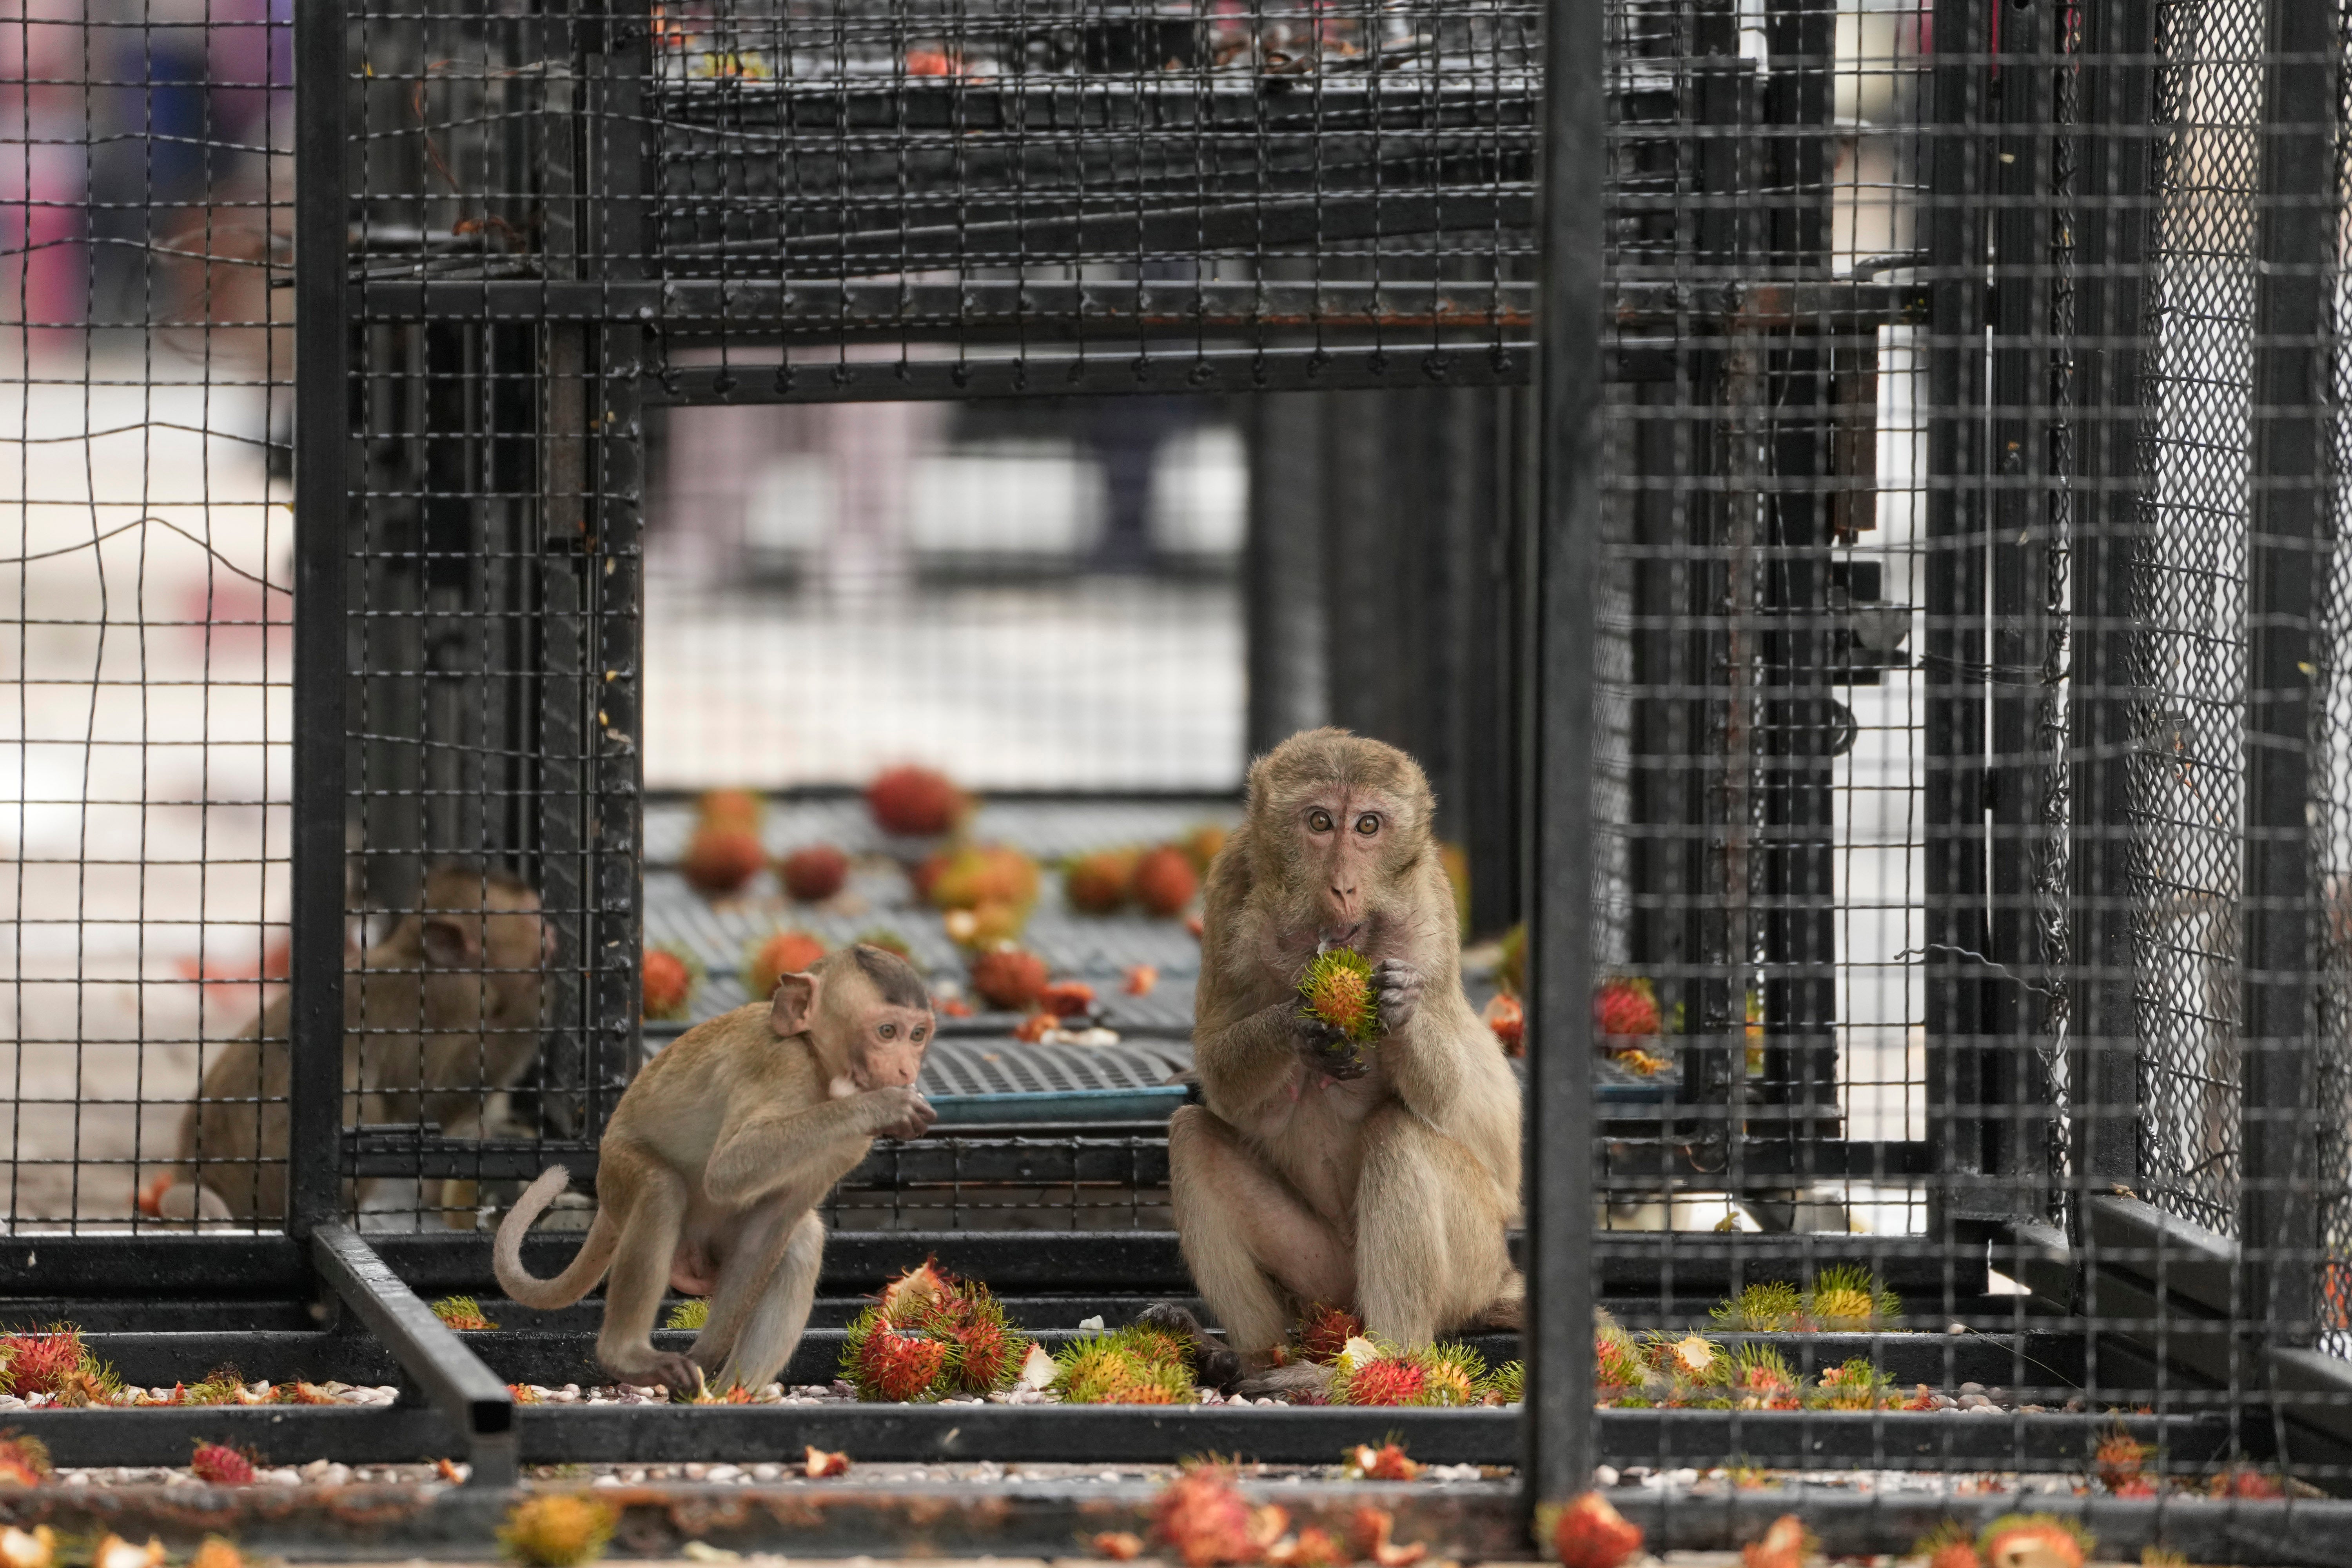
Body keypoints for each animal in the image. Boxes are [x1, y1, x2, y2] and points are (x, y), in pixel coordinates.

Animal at [148, 864, 554, 1225]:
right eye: (531, 917)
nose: (551, 931)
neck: (418, 957)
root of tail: (196, 1175)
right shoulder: (451, 997)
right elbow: (425, 1101)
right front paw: (534, 1003)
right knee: (366, 1109)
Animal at [491, 944, 937, 1394]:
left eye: (917, 1035)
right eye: (887, 1032)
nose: (907, 1070)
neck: (820, 1066)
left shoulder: (849, 1147)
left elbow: (773, 1223)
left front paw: (706, 1358)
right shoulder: (783, 1065)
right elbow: (729, 1170)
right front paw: (885, 1105)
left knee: (800, 1242)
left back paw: (735, 1394)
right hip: (616, 1177)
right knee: (660, 1189)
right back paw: (627, 1357)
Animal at [1158, 728, 1522, 1394]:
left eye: (1369, 825)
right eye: (1321, 822)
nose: (1344, 888)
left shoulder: (1430, 915)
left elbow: (1449, 1094)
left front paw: (1401, 1007)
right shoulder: (1228, 886)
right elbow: (1220, 1073)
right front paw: (1299, 1024)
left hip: (1474, 1261)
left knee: (1399, 1133)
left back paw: (1383, 1363)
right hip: (1322, 1276)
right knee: (1193, 1136)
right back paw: (1247, 1357)